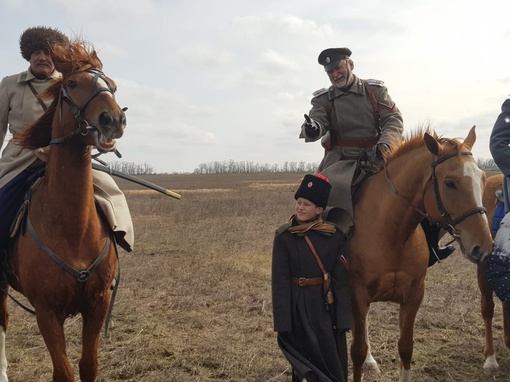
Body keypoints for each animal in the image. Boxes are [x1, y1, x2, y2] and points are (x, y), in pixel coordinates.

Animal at [0, 40, 126, 380]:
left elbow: (88, 366)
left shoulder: (98, 304)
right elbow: (64, 372)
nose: (113, 119)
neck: (73, 229)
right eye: (72, 84)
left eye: (112, 85)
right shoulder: (46, 312)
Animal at [348, 127, 492, 382]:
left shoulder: (413, 295)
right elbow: (357, 350)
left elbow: (406, 347)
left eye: (483, 179)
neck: (391, 232)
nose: (482, 246)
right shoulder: (358, 294)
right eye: (449, 183)